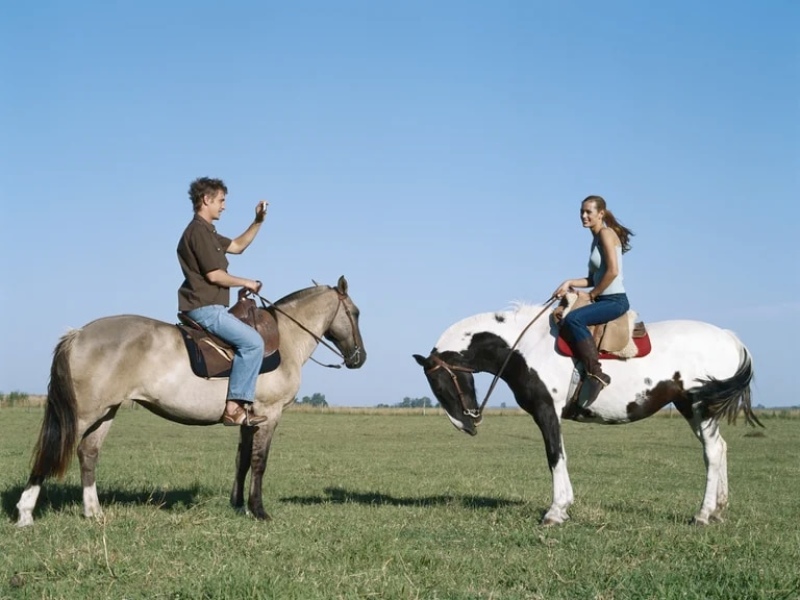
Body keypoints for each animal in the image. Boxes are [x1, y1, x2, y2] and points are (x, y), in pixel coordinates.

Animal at [16, 276, 366, 524]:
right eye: (356, 313)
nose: (359, 358)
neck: (285, 338)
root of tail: (77, 334)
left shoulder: (248, 419)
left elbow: (241, 461)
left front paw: (238, 506)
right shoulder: (270, 414)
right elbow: (259, 462)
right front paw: (259, 510)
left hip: (106, 412)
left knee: (88, 454)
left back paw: (94, 512)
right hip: (84, 413)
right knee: (49, 452)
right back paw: (25, 513)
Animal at [416, 300, 760, 524]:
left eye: (440, 384)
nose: (467, 425)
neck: (525, 348)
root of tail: (730, 337)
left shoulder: (546, 409)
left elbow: (555, 455)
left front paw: (555, 511)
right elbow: (560, 456)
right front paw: (563, 506)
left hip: (698, 406)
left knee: (712, 453)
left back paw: (702, 514)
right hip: (694, 409)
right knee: (719, 448)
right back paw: (718, 510)